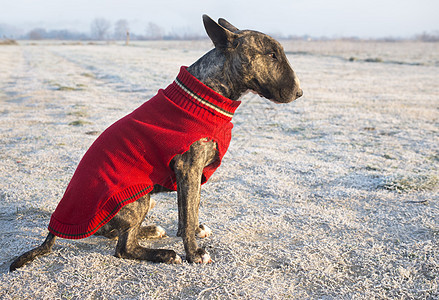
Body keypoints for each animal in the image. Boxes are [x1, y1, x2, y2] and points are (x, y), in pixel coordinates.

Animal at [11, 14, 306, 272]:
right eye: (271, 55)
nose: (300, 93)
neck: (209, 93)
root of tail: (56, 225)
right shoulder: (188, 167)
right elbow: (188, 212)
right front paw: (194, 253)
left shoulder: (190, 174)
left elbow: (189, 209)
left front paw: (194, 231)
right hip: (138, 196)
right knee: (123, 247)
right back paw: (164, 253)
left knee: (111, 233)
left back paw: (152, 230)